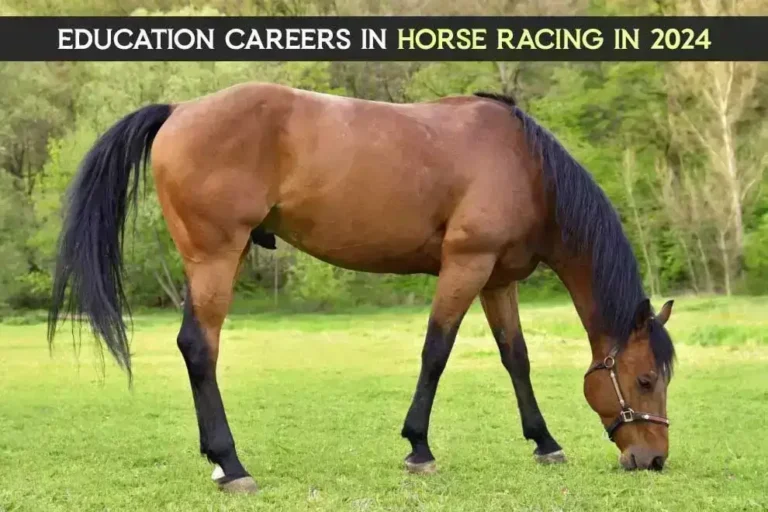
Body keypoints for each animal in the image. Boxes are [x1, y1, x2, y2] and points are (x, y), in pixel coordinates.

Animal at [48, 83, 676, 493]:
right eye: (645, 379)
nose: (653, 458)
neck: (524, 164)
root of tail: (180, 110)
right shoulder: (465, 266)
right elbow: (436, 351)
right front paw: (418, 448)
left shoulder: (497, 280)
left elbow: (514, 358)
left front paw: (544, 443)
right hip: (216, 258)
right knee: (200, 347)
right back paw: (232, 465)